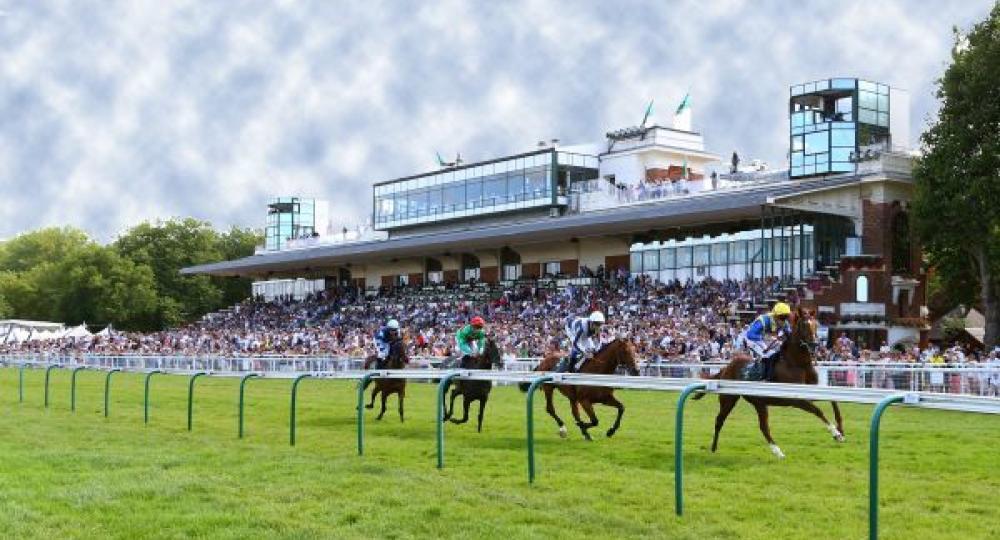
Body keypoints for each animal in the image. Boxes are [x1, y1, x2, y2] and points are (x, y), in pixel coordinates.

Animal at [700, 306, 848, 458]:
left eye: (815, 324)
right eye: (803, 325)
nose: (814, 344)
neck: (797, 363)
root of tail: (727, 367)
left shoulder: (813, 391)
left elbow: (834, 401)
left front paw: (841, 430)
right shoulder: (796, 400)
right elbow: (818, 410)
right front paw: (835, 433)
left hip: (759, 403)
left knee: (763, 426)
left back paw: (777, 451)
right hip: (728, 399)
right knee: (720, 420)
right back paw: (713, 448)